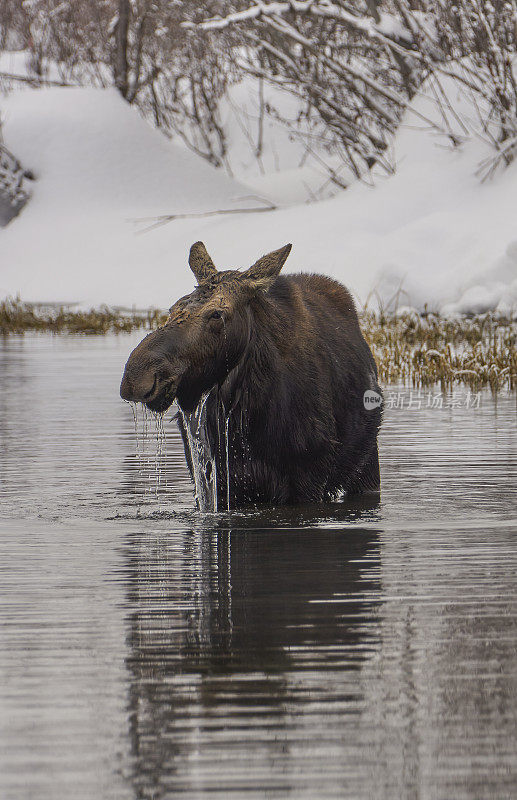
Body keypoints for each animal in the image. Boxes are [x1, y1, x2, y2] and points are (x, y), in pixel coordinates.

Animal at [119, 241, 380, 510]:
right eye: (172, 308)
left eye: (217, 314)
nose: (137, 377)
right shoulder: (214, 477)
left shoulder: (309, 475)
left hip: (367, 462)